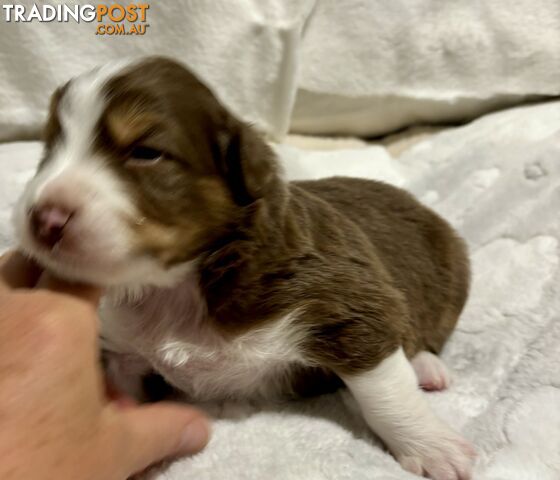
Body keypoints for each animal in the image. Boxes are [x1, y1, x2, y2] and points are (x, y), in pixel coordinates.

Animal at [13, 57, 474, 480]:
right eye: (48, 149)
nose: (43, 220)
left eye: (145, 152)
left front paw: (434, 447)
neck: (178, 287)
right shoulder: (122, 350)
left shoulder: (342, 299)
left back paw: (427, 368)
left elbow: (385, 390)